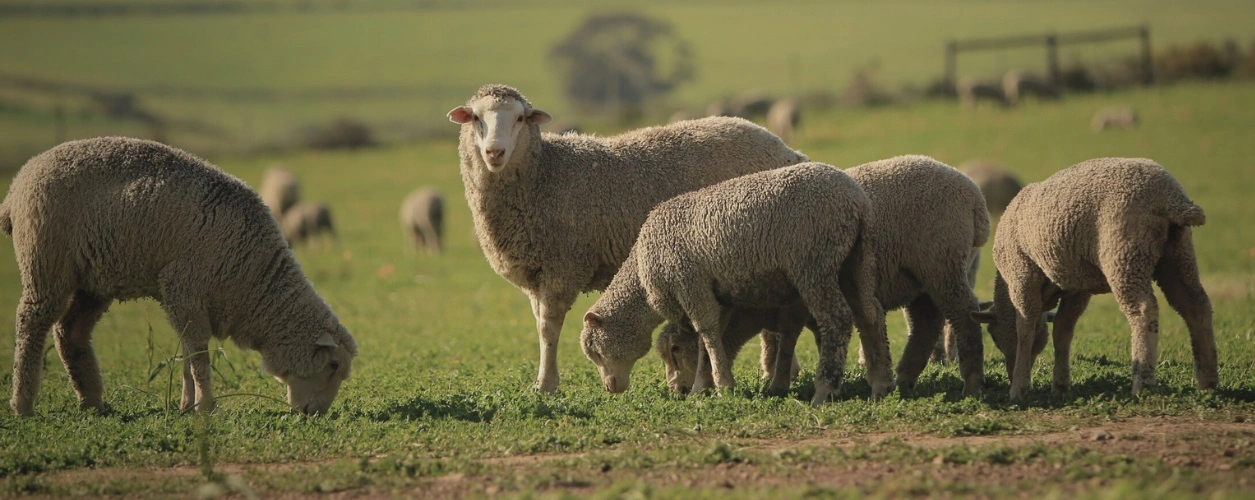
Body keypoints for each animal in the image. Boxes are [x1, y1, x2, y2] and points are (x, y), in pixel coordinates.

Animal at [0, 137, 358, 416]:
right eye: (333, 365)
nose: (316, 413)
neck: (252, 280)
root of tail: (18, 184)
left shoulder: (189, 301)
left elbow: (188, 352)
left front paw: (188, 405)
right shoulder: (185, 289)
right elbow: (198, 355)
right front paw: (206, 406)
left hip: (91, 280)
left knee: (70, 331)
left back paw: (92, 401)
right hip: (45, 262)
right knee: (31, 324)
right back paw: (23, 404)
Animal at [447, 84, 808, 393]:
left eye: (520, 118)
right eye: (476, 117)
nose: (495, 152)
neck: (544, 173)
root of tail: (786, 149)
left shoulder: (561, 268)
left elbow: (549, 329)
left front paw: (546, 384)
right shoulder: (536, 275)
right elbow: (540, 327)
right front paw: (543, 381)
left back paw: (776, 370)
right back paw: (778, 369)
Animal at [581, 163, 894, 406]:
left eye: (594, 350)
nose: (610, 388)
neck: (642, 274)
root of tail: (856, 201)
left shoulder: (690, 284)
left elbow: (706, 334)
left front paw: (720, 387)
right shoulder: (719, 294)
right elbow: (712, 339)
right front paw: (705, 385)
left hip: (814, 263)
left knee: (837, 319)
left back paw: (825, 390)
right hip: (856, 262)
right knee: (870, 314)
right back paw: (881, 384)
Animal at [656, 156, 990, 397]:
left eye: (674, 350)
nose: (676, 391)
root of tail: (975, 196)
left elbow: (796, 338)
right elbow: (791, 339)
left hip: (941, 262)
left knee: (960, 313)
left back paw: (970, 384)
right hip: (922, 276)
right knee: (924, 321)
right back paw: (902, 379)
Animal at [970, 157, 1218, 400]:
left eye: (993, 335)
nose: (1010, 374)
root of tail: (1171, 198)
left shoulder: (1022, 276)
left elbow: (1025, 328)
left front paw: (1018, 388)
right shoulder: (1077, 288)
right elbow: (1062, 329)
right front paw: (1060, 386)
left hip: (1125, 253)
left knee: (1143, 309)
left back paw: (1142, 383)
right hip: (1178, 255)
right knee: (1196, 306)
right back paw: (1208, 382)